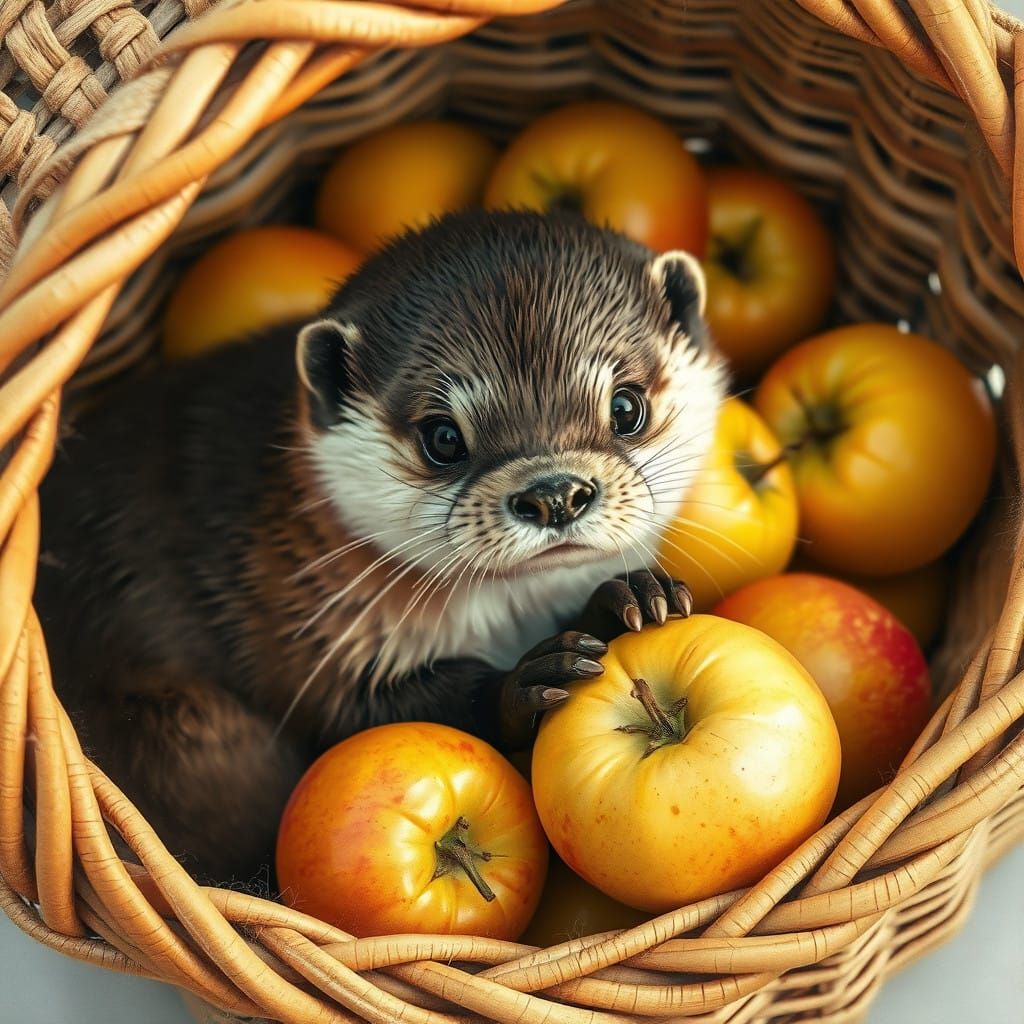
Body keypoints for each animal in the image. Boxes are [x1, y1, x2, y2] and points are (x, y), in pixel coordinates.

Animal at [36, 210, 726, 884]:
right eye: (443, 437)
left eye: (627, 405)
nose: (554, 494)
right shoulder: (298, 621)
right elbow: (368, 717)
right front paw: (528, 680)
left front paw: (630, 598)